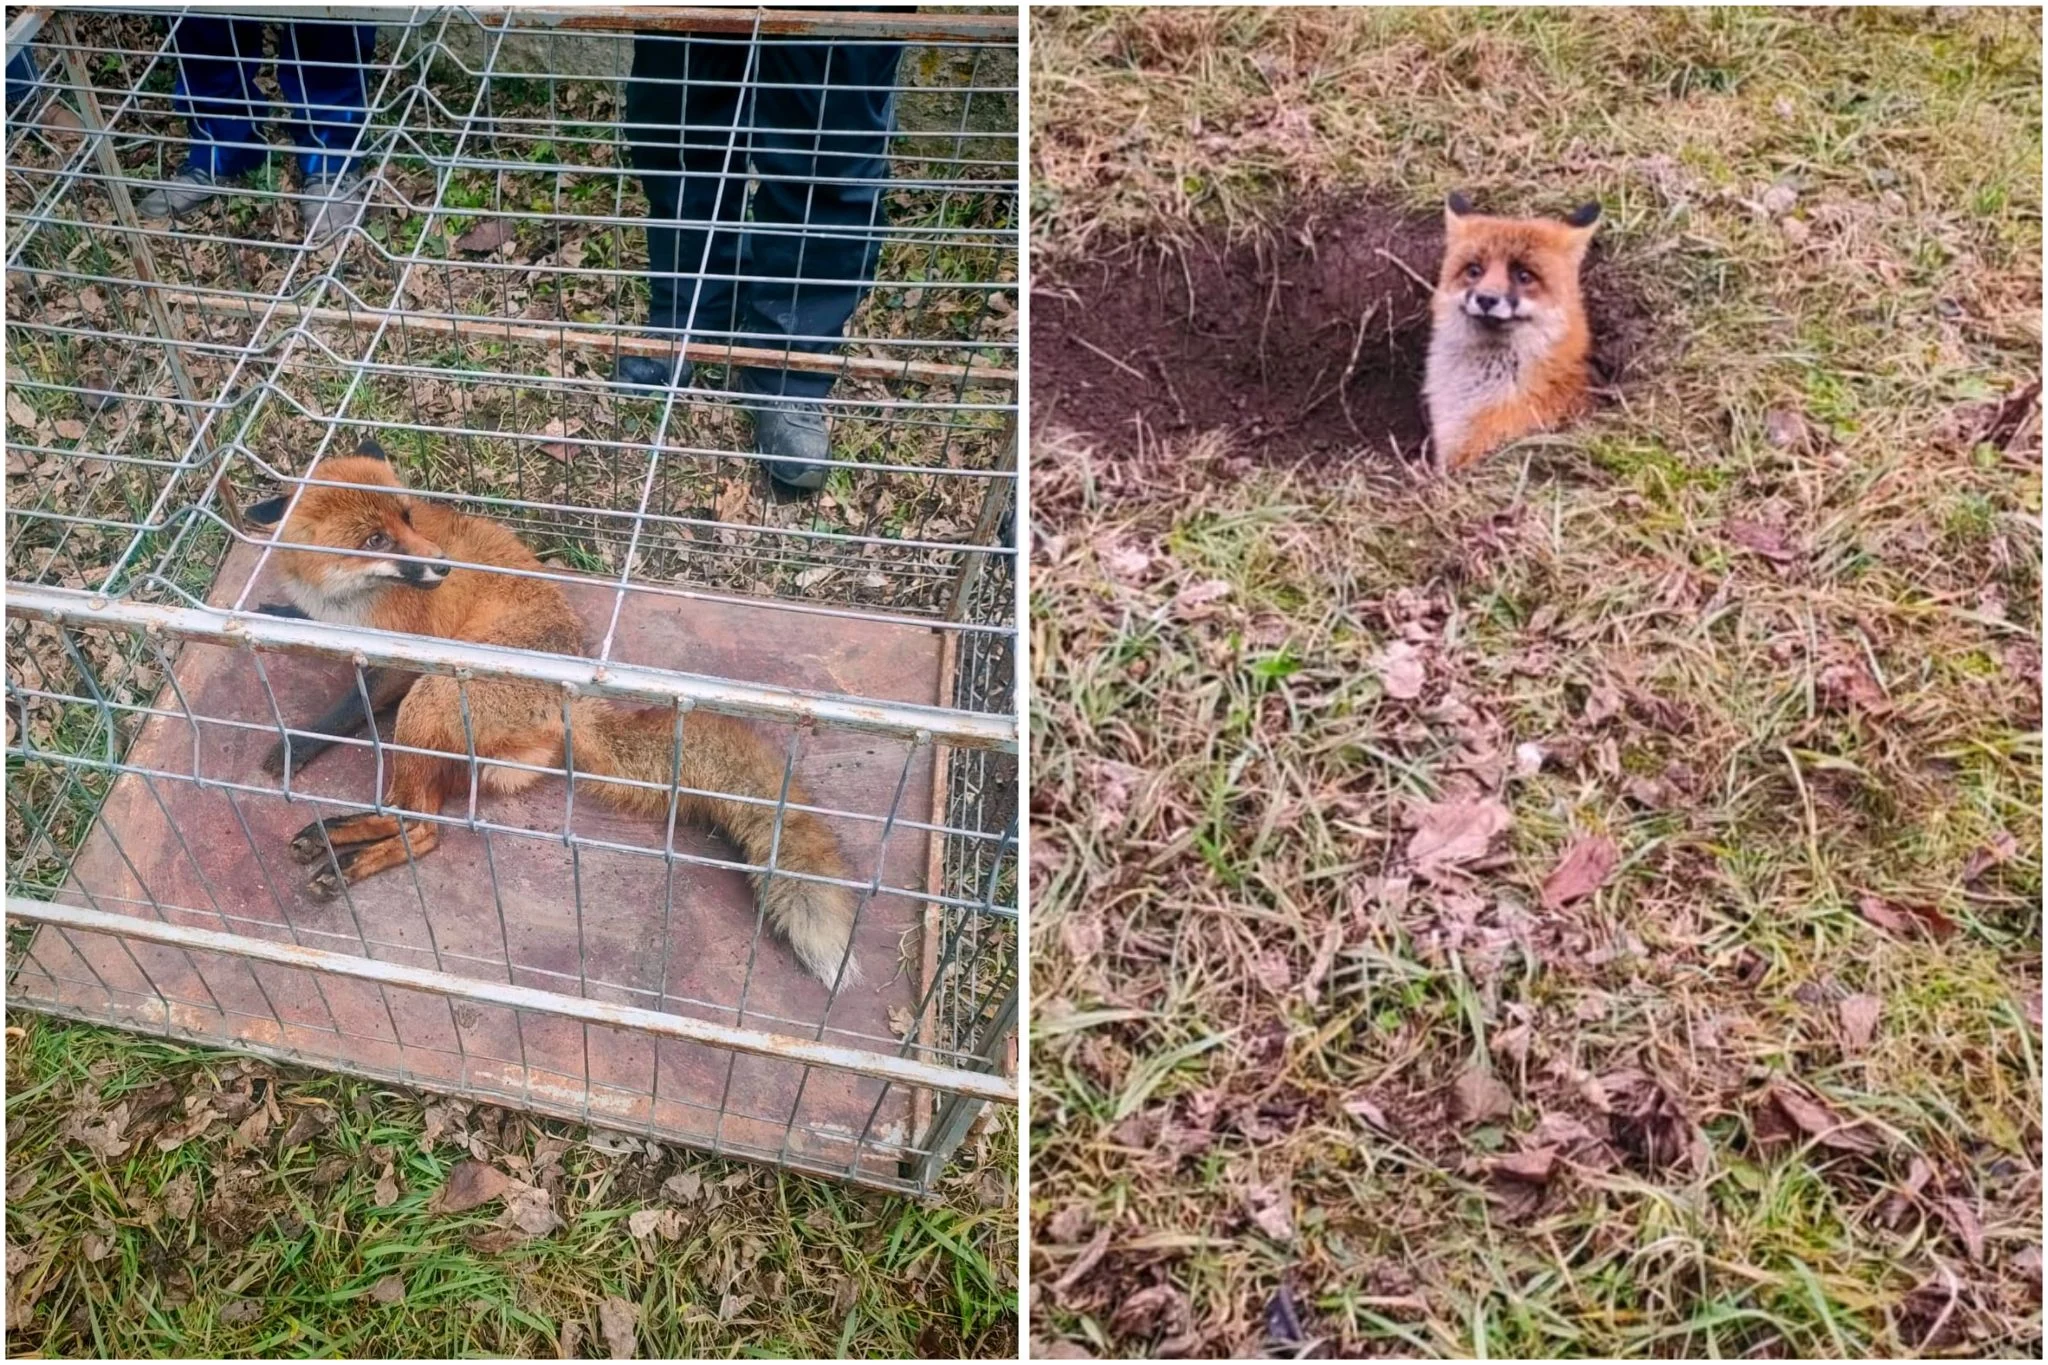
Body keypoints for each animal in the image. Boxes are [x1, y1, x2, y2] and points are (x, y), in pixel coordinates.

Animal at [243, 444, 860, 986]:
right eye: (376, 538)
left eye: (409, 516)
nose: (442, 566)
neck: (343, 599)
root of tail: (570, 703)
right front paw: (277, 615)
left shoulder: (399, 660)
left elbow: (343, 714)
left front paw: (292, 747)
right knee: (409, 812)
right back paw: (331, 838)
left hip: (427, 698)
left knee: (424, 829)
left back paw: (342, 861)